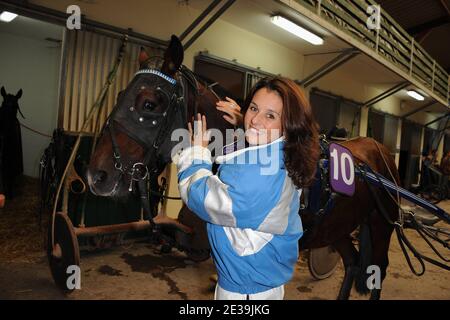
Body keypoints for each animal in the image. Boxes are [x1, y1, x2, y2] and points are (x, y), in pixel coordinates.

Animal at [86, 35, 400, 300]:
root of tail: (379, 150)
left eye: (149, 104)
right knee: (353, 263)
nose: (96, 175)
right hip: (339, 227)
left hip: (382, 223)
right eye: (119, 97)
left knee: (379, 268)